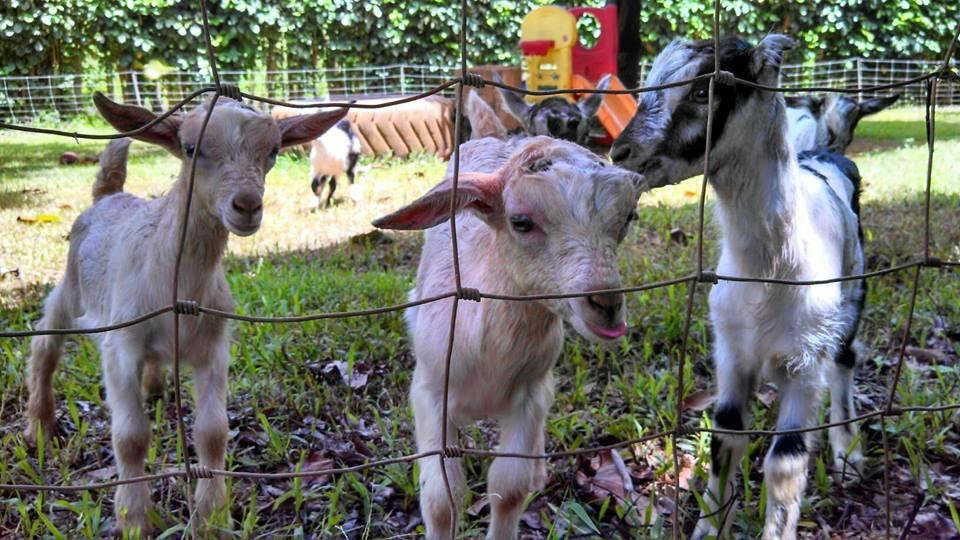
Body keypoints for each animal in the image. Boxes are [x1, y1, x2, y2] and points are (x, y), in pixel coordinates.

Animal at [24, 92, 346, 532]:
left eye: (273, 151)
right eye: (191, 149)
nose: (247, 206)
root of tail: (108, 196)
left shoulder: (213, 347)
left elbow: (213, 432)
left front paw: (212, 518)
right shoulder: (121, 344)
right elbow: (131, 436)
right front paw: (133, 519)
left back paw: (154, 389)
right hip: (72, 288)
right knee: (45, 341)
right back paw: (39, 425)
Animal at [374, 136, 644, 540]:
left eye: (628, 217)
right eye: (521, 222)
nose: (607, 305)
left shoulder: (530, 395)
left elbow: (509, 488)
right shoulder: (429, 392)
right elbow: (441, 499)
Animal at [616, 35, 872, 536]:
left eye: (703, 91)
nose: (619, 153)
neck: (770, 271)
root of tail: (824, 155)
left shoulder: (805, 361)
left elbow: (786, 461)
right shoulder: (731, 349)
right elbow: (726, 436)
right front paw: (708, 526)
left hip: (852, 290)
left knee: (846, 360)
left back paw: (849, 452)